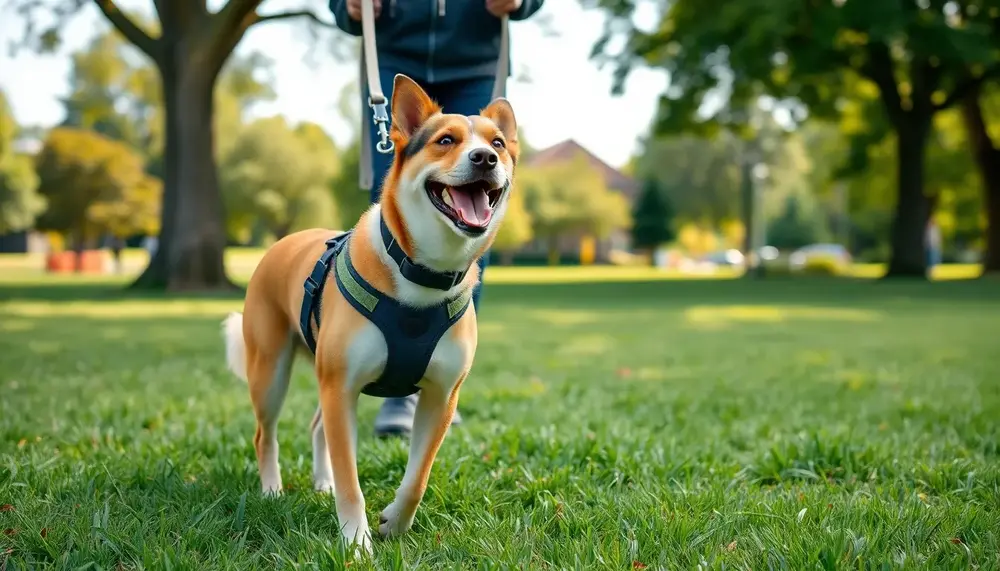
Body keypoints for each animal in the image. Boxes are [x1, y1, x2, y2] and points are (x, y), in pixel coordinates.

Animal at [222, 73, 520, 556]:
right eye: (445, 140)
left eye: (497, 142)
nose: (486, 158)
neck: (422, 271)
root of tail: (285, 241)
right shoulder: (341, 386)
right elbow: (351, 480)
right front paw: (356, 542)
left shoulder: (440, 397)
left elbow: (418, 477)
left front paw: (394, 524)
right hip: (271, 370)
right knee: (265, 433)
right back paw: (271, 490)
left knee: (318, 425)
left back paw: (320, 482)